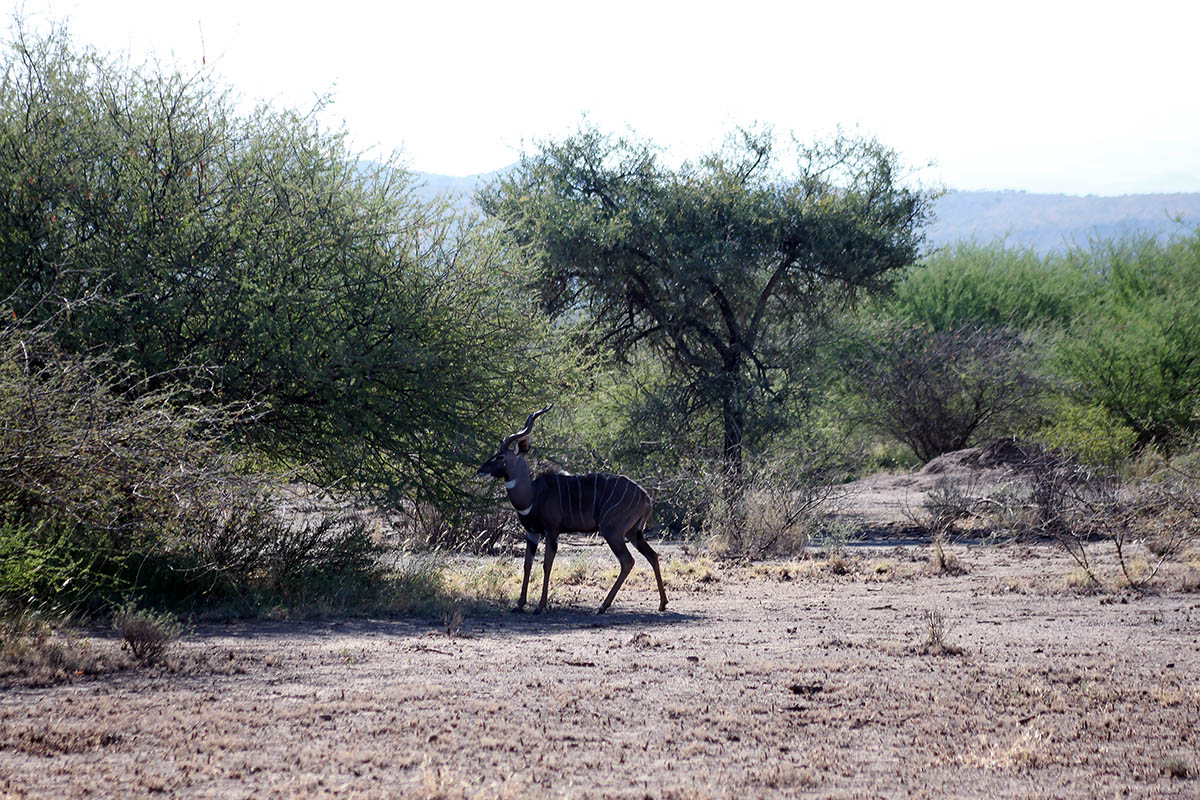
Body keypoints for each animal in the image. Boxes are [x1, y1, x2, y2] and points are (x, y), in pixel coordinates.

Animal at [475, 407, 667, 614]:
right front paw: (519, 604)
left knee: (627, 561)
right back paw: (662, 604)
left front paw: (540, 606)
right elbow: (527, 565)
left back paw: (603, 606)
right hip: (633, 532)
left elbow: (546, 565)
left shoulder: (552, 530)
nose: (480, 470)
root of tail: (646, 498)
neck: (533, 495)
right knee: (652, 555)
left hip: (612, 530)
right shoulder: (531, 533)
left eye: (500, 457)